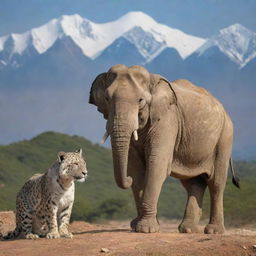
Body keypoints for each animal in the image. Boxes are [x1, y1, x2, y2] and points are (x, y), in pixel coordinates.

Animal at [88, 64, 240, 234]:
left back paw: (213, 231)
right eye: (107, 99)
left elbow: (157, 163)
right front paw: (137, 225)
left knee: (216, 182)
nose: (127, 180)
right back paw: (187, 229)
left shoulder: (168, 118)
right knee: (193, 183)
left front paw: (146, 229)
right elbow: (135, 167)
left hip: (225, 136)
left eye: (140, 101)